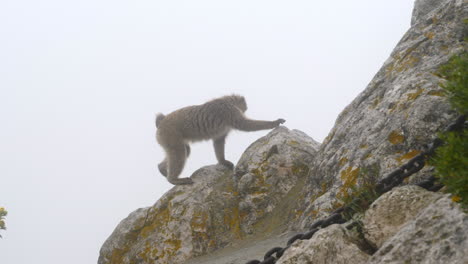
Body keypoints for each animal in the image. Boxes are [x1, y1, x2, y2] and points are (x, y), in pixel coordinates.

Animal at [156, 95, 286, 186]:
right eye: (244, 107)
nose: (244, 110)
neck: (226, 100)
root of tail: (161, 123)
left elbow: (218, 140)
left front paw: (222, 161)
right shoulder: (230, 111)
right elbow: (245, 125)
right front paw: (274, 122)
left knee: (184, 151)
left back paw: (162, 168)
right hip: (170, 134)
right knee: (179, 152)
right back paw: (173, 179)